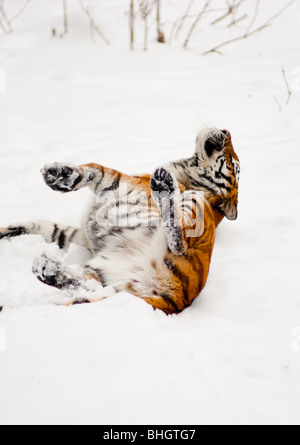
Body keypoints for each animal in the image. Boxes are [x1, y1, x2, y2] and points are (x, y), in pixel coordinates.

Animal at [0, 126, 239, 314]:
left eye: (232, 162)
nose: (226, 130)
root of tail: (177, 300)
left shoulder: (117, 180)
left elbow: (96, 168)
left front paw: (59, 175)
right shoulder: (85, 238)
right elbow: (42, 228)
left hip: (193, 208)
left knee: (178, 240)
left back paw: (164, 186)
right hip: (102, 273)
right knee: (91, 288)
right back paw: (47, 269)